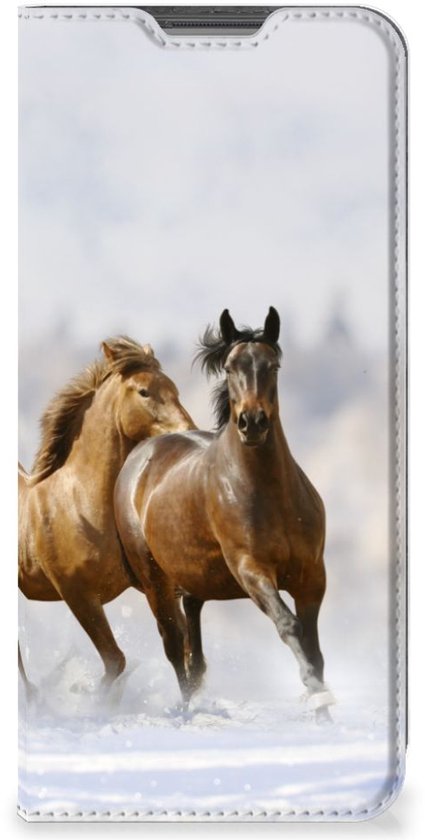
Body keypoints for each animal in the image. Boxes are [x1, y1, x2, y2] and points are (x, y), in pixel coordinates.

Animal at [19, 336, 194, 693]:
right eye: (144, 391)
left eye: (174, 388)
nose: (188, 430)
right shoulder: (78, 595)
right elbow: (116, 661)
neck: (79, 504)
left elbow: (179, 647)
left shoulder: (154, 585)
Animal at [114, 309, 335, 722]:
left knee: (193, 645)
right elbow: (290, 626)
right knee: (174, 645)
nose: (252, 422)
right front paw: (317, 696)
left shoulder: (312, 575)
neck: (270, 494)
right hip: (155, 581)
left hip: (194, 579)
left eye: (273, 365)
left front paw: (324, 712)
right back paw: (187, 711)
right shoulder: (251, 570)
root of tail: (141, 455)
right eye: (231, 367)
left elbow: (314, 647)